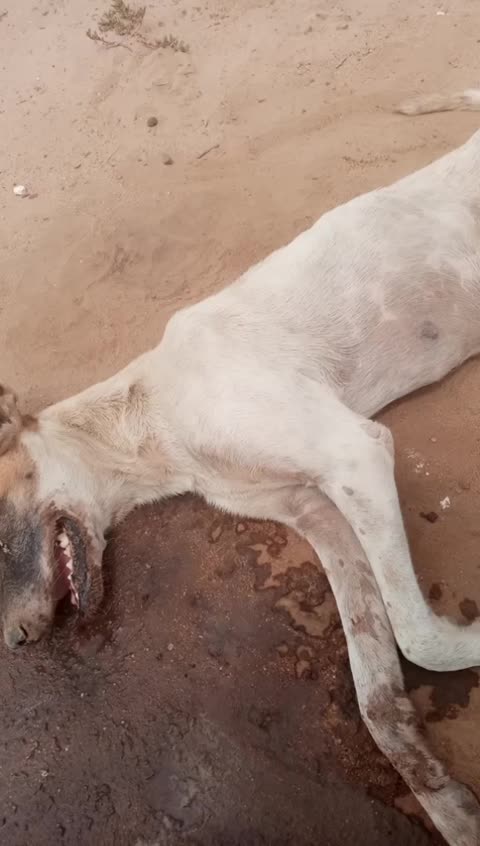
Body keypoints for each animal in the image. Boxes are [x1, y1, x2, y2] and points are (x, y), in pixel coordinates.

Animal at [2, 88, 480, 845]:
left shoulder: (356, 451)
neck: (154, 416)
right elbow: (376, 688)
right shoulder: (320, 513)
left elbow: (419, 634)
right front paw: (445, 801)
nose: (16, 643)